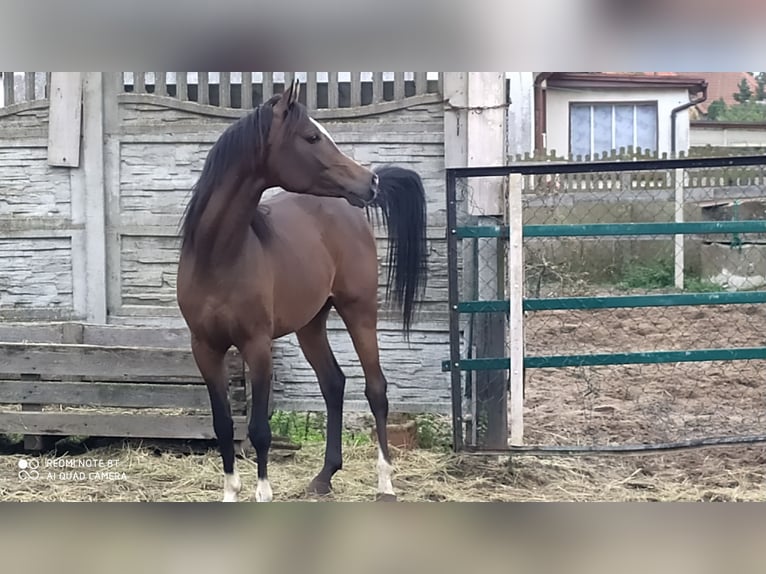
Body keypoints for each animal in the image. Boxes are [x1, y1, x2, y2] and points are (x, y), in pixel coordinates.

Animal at [176, 79, 428, 502]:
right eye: (312, 136)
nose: (370, 181)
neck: (219, 255)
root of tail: (348, 210)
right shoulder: (205, 349)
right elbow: (223, 425)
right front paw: (230, 493)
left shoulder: (257, 347)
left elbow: (259, 430)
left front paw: (263, 494)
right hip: (311, 323)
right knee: (333, 384)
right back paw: (324, 477)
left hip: (359, 311)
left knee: (376, 389)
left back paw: (385, 484)